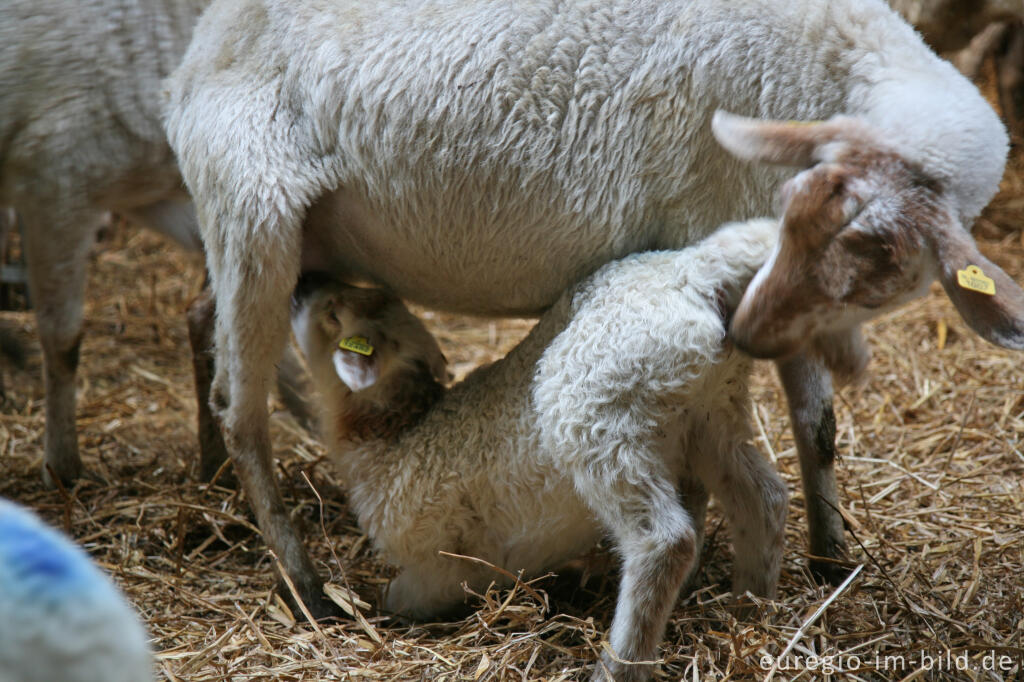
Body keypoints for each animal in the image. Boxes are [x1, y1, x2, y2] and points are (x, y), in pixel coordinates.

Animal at [163, 0, 1019, 614]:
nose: (744, 329)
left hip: (280, 238)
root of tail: (194, 52)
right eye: (800, 211)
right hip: (252, 210)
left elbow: (820, 426)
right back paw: (303, 581)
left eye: (882, 260)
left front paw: (831, 557)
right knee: (239, 406)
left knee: (204, 320)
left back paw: (212, 485)